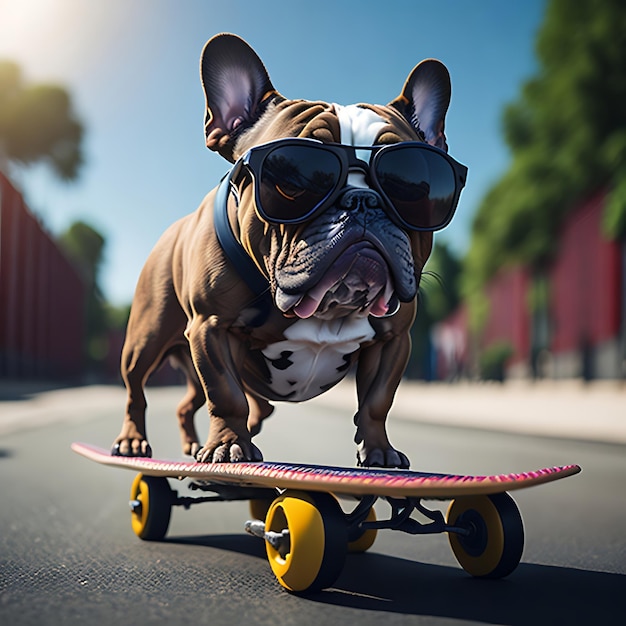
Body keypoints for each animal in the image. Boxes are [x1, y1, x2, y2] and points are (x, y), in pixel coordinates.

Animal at [111, 31, 464, 466]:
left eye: (413, 187)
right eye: (292, 182)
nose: (364, 201)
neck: (332, 306)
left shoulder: (393, 341)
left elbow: (378, 400)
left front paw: (379, 450)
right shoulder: (211, 326)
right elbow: (225, 394)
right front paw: (230, 443)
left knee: (208, 403)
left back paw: (197, 443)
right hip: (146, 339)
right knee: (136, 389)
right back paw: (134, 441)